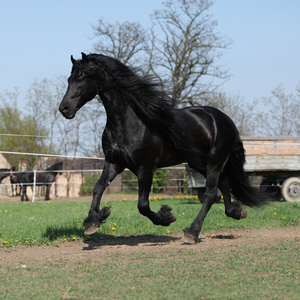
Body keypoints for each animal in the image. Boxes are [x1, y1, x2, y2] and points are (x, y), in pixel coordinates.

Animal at [58, 52, 268, 244]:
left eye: (80, 78)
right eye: (69, 79)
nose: (64, 109)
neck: (130, 123)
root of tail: (225, 120)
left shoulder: (146, 167)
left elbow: (142, 205)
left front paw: (166, 217)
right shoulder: (114, 163)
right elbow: (98, 187)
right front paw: (93, 222)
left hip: (215, 160)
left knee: (210, 194)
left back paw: (192, 233)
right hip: (199, 162)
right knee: (223, 183)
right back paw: (236, 211)